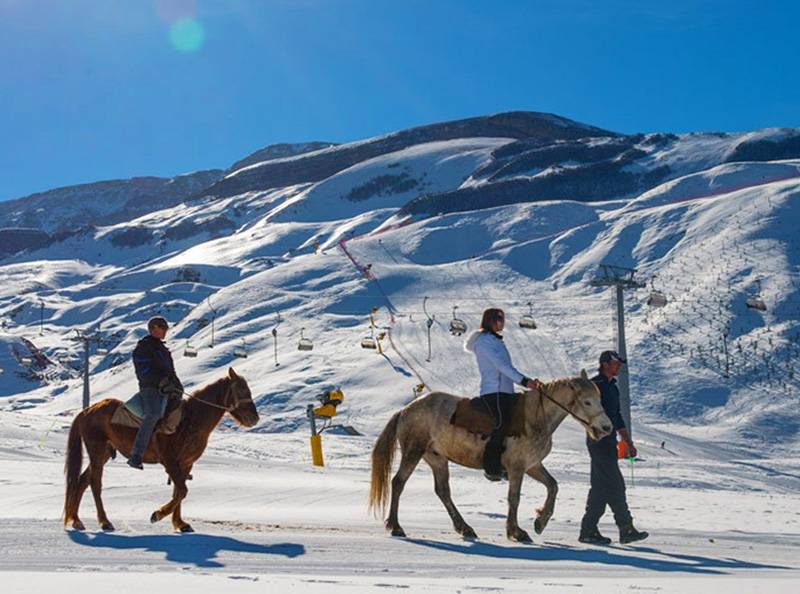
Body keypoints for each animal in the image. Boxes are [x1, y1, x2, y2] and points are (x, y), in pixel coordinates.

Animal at [63, 368, 256, 528]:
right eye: (241, 390)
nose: (254, 418)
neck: (190, 420)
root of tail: (87, 411)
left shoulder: (186, 464)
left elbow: (178, 492)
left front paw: (180, 523)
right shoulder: (170, 461)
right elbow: (182, 491)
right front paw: (158, 514)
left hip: (103, 453)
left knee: (82, 480)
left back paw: (76, 520)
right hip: (96, 449)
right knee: (95, 483)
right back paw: (104, 521)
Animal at [368, 370, 612, 540]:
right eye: (587, 401)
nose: (607, 428)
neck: (534, 418)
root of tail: (406, 410)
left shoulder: (532, 465)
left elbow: (553, 486)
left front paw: (540, 522)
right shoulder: (517, 468)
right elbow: (514, 498)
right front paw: (516, 532)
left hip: (437, 458)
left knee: (443, 492)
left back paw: (465, 528)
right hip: (413, 452)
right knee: (398, 482)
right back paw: (396, 526)